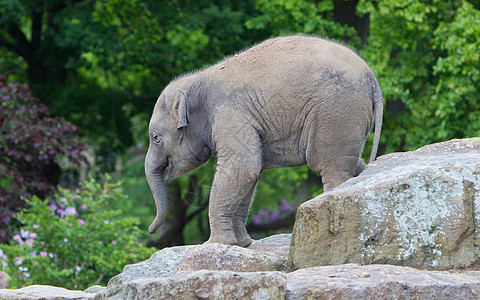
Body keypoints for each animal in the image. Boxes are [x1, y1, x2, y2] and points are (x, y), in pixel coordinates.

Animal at [145, 35, 382, 246]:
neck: (198, 80)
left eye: (156, 138)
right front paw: (241, 244)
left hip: (335, 113)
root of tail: (373, 80)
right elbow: (250, 173)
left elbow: (242, 167)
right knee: (351, 163)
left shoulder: (230, 114)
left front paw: (215, 244)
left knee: (331, 167)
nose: (150, 230)